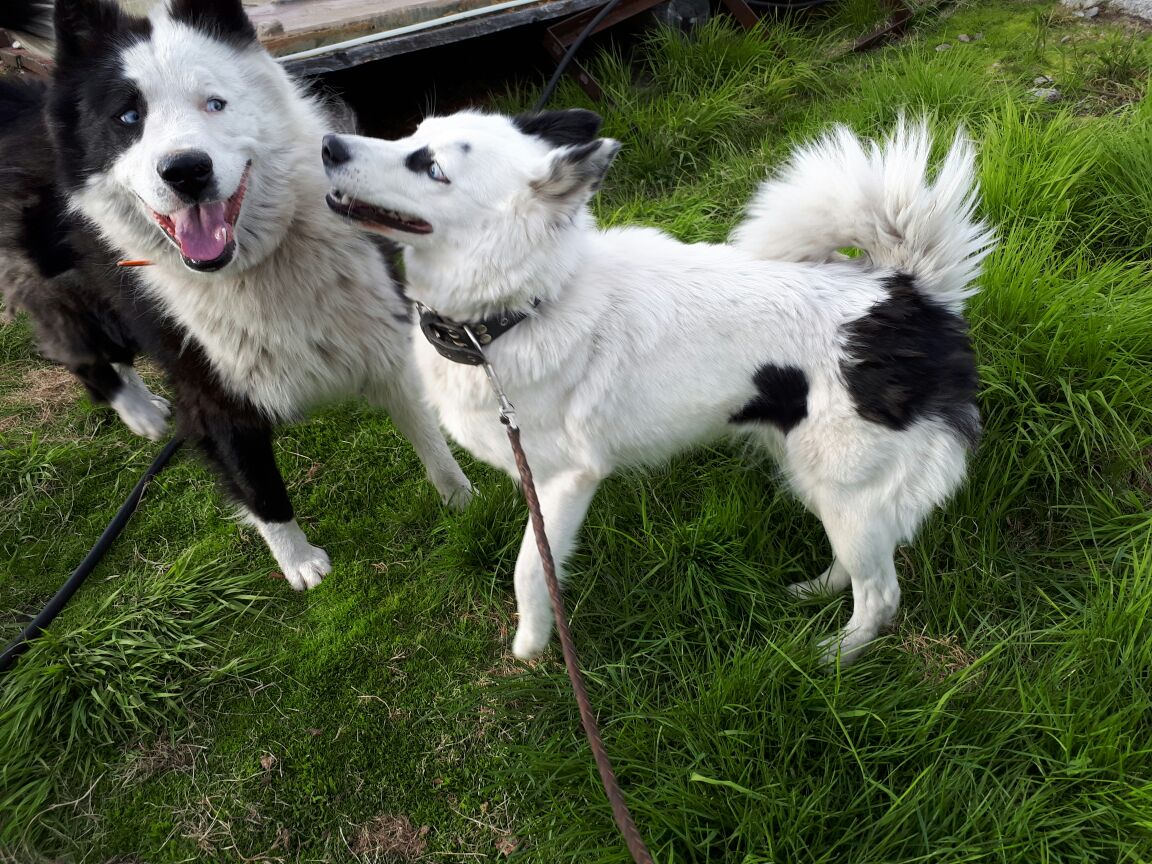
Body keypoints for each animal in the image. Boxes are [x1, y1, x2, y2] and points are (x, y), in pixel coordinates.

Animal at [0, 1, 470, 589]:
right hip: (76, 295)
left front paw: (463, 497)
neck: (259, 264)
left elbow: (428, 433)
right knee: (83, 351)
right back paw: (140, 413)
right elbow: (259, 488)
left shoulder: (382, 334)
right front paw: (300, 564)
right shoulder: (210, 392)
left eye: (215, 103)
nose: (186, 171)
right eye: (129, 118)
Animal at [320, 108, 995, 663]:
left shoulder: (565, 481)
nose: (327, 144)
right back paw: (816, 590)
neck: (517, 311)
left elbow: (530, 571)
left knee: (880, 595)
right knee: (855, 562)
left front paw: (532, 647)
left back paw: (835, 653)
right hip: (819, 478)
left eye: (430, 166)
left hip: (846, 483)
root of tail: (904, 294)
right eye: (410, 132)